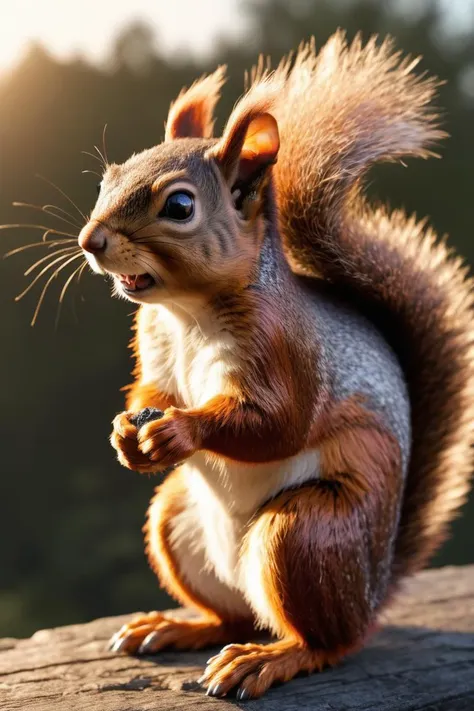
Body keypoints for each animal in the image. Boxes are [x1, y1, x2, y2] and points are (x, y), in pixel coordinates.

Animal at [78, 33, 474, 700]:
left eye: (179, 205)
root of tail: (371, 591)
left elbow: (277, 423)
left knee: (326, 641)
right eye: (109, 178)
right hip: (174, 519)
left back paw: (269, 658)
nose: (90, 241)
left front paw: (179, 431)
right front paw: (125, 432)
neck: (187, 313)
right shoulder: (155, 351)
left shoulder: (284, 349)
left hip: (304, 534)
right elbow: (150, 390)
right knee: (233, 616)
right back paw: (179, 626)